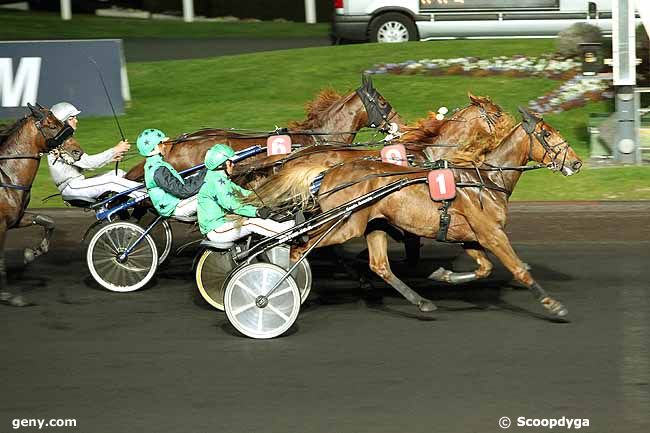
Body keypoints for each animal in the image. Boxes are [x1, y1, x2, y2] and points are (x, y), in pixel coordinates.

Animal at [0, 104, 83, 308]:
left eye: (61, 123)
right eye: (52, 126)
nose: (78, 151)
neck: (7, 178)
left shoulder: (17, 218)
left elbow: (48, 221)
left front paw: (31, 253)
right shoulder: (1, 225)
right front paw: (7, 295)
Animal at [248, 108, 584, 318]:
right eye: (548, 135)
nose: (577, 163)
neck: (485, 181)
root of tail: (329, 171)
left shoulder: (470, 237)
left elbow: (484, 268)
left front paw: (443, 274)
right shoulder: (492, 233)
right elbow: (517, 269)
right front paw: (553, 305)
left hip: (373, 225)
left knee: (379, 265)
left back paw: (421, 301)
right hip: (345, 224)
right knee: (300, 247)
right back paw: (277, 291)